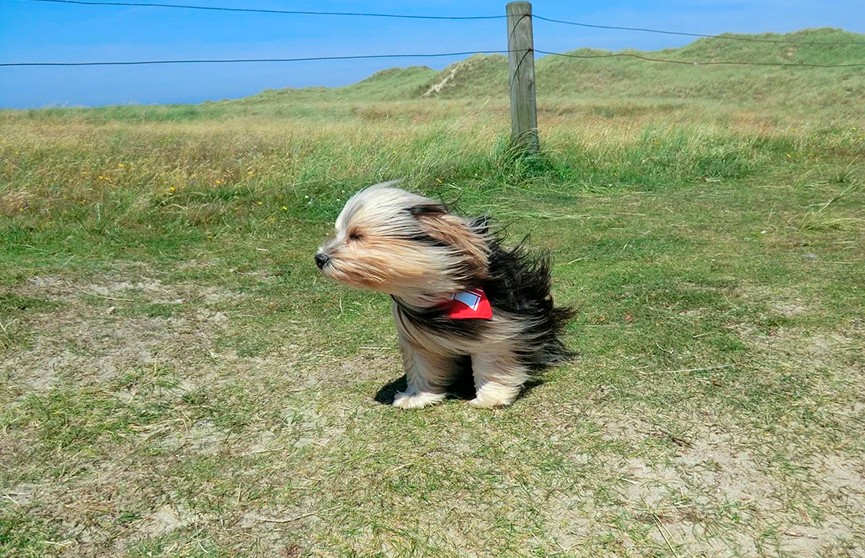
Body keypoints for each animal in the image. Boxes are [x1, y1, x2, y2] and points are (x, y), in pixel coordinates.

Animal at [314, 182, 572, 410]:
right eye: (339, 233)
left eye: (356, 235)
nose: (319, 258)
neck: (439, 291)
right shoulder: (417, 338)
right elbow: (422, 365)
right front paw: (417, 397)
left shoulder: (500, 326)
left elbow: (492, 360)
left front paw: (491, 397)